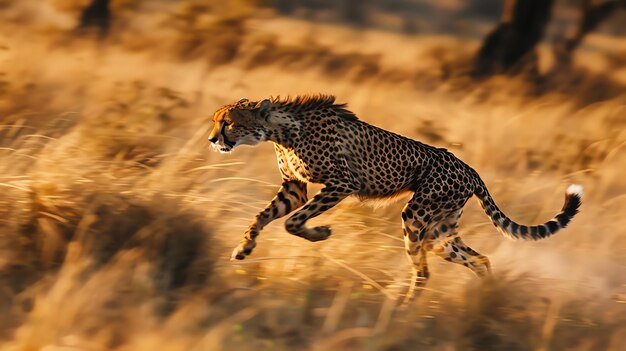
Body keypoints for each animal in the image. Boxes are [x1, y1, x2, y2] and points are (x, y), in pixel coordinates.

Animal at [208, 95, 580, 302]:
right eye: (216, 121)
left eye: (228, 123)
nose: (212, 140)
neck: (281, 129)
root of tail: (469, 168)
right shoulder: (294, 187)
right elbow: (263, 216)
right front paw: (244, 248)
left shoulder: (342, 183)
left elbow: (291, 222)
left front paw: (320, 234)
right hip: (440, 231)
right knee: (479, 259)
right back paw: (484, 297)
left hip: (417, 217)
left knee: (425, 270)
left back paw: (404, 309)